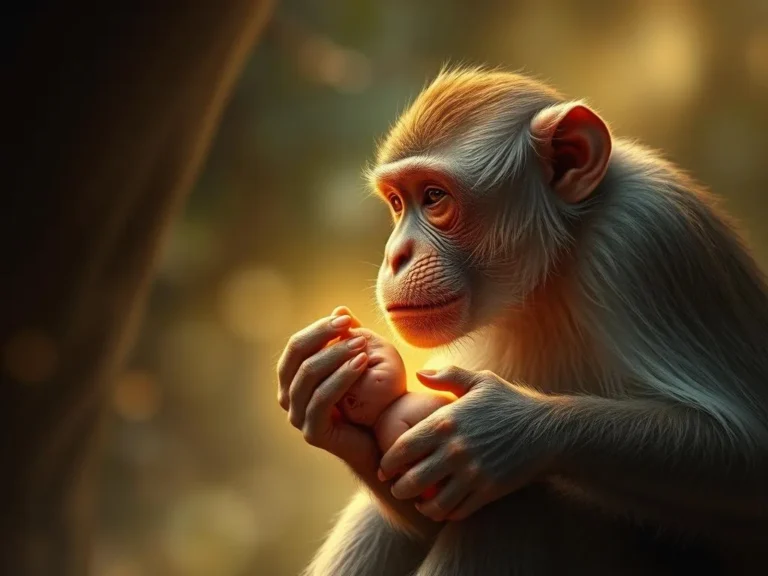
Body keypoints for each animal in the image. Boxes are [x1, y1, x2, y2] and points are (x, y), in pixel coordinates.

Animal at [276, 67, 768, 575]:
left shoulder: (646, 238)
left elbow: (747, 458)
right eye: (397, 202)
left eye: (433, 197)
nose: (396, 255)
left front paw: (500, 430)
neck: (556, 263)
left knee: (514, 507)